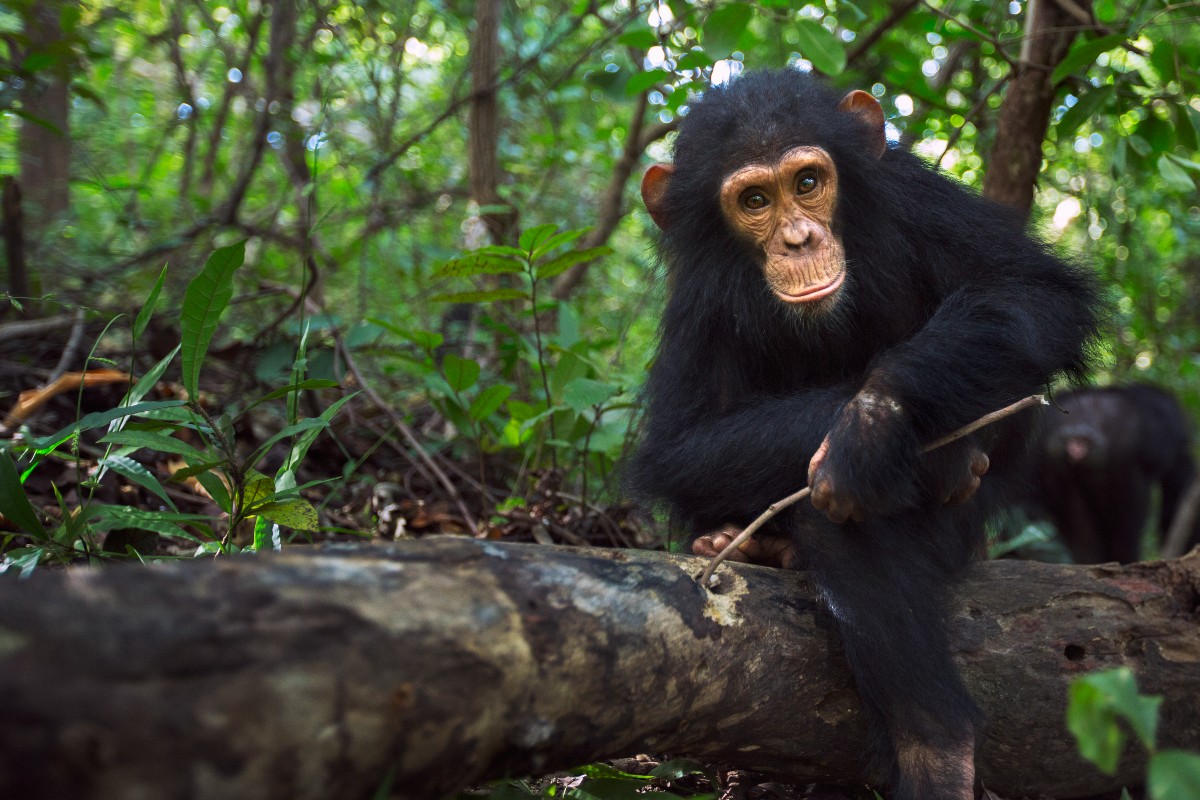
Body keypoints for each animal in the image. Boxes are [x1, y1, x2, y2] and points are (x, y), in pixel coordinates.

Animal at [633, 70, 1099, 800]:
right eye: (754, 200)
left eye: (807, 182)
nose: (797, 238)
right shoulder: (697, 298)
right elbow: (682, 446)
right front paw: (873, 432)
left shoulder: (919, 200)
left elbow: (1032, 292)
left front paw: (870, 425)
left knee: (841, 508)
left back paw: (937, 750)